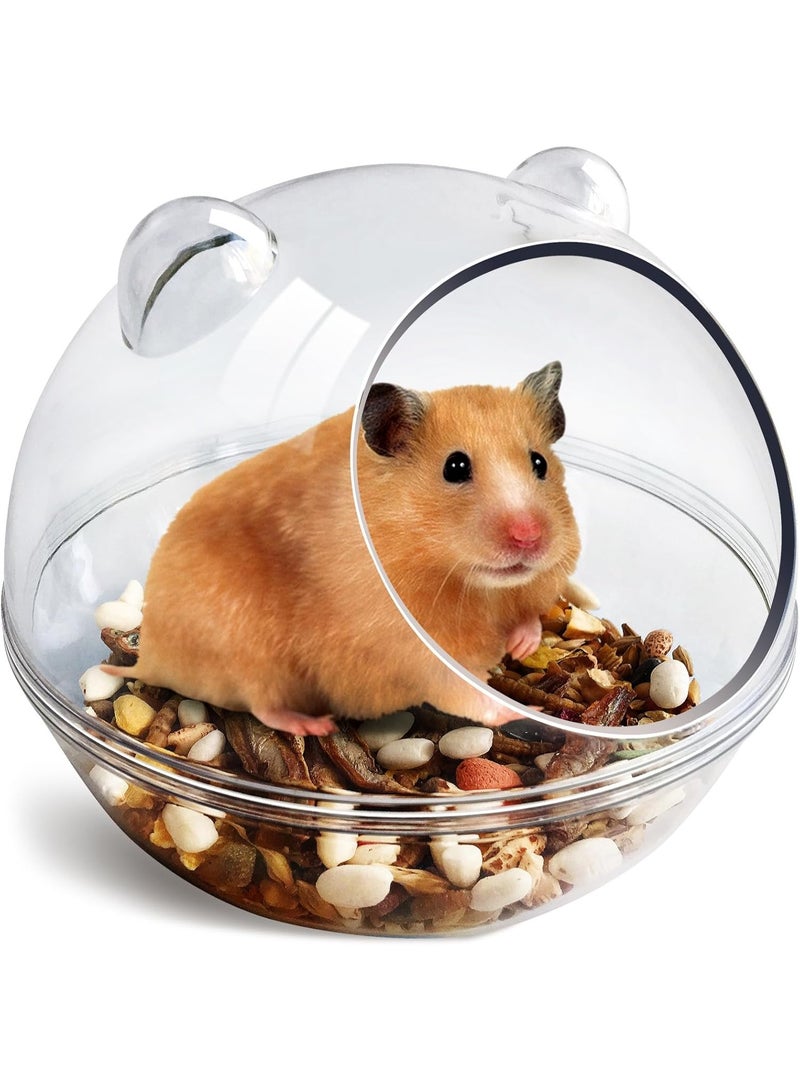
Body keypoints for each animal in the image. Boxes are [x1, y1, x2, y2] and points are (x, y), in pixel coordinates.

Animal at [104, 361, 580, 735]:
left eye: (539, 462)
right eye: (456, 467)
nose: (530, 538)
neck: (472, 587)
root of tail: (153, 655)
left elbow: (529, 615)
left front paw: (521, 646)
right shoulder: (416, 654)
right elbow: (467, 696)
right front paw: (526, 709)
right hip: (248, 655)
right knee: (261, 704)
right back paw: (315, 725)